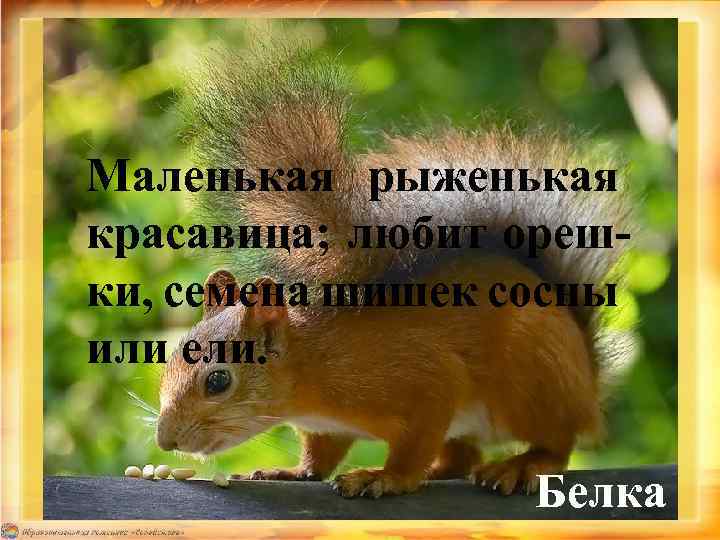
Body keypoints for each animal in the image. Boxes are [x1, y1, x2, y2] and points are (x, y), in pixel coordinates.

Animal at [155, 44, 634, 498]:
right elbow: (320, 455)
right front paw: (292, 472)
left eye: (219, 380)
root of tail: (587, 385)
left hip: (531, 382)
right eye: (172, 359)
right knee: (464, 454)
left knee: (556, 443)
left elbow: (415, 441)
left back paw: (521, 465)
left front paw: (387, 478)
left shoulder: (426, 381)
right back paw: (444, 471)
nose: (165, 441)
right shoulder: (327, 427)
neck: (313, 366)